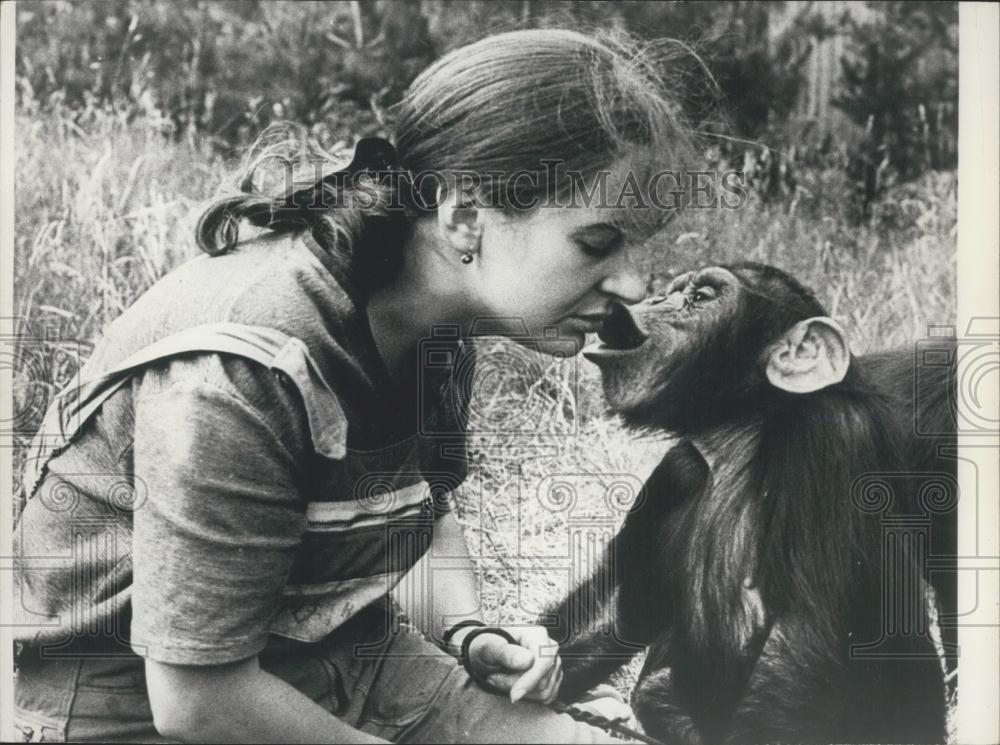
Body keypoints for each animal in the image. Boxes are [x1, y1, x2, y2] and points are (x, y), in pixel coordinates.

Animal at [544, 264, 956, 744]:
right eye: (672, 292)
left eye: (701, 297)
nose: (648, 302)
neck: (743, 436)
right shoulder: (675, 473)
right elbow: (617, 610)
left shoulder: (833, 438)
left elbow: (797, 658)